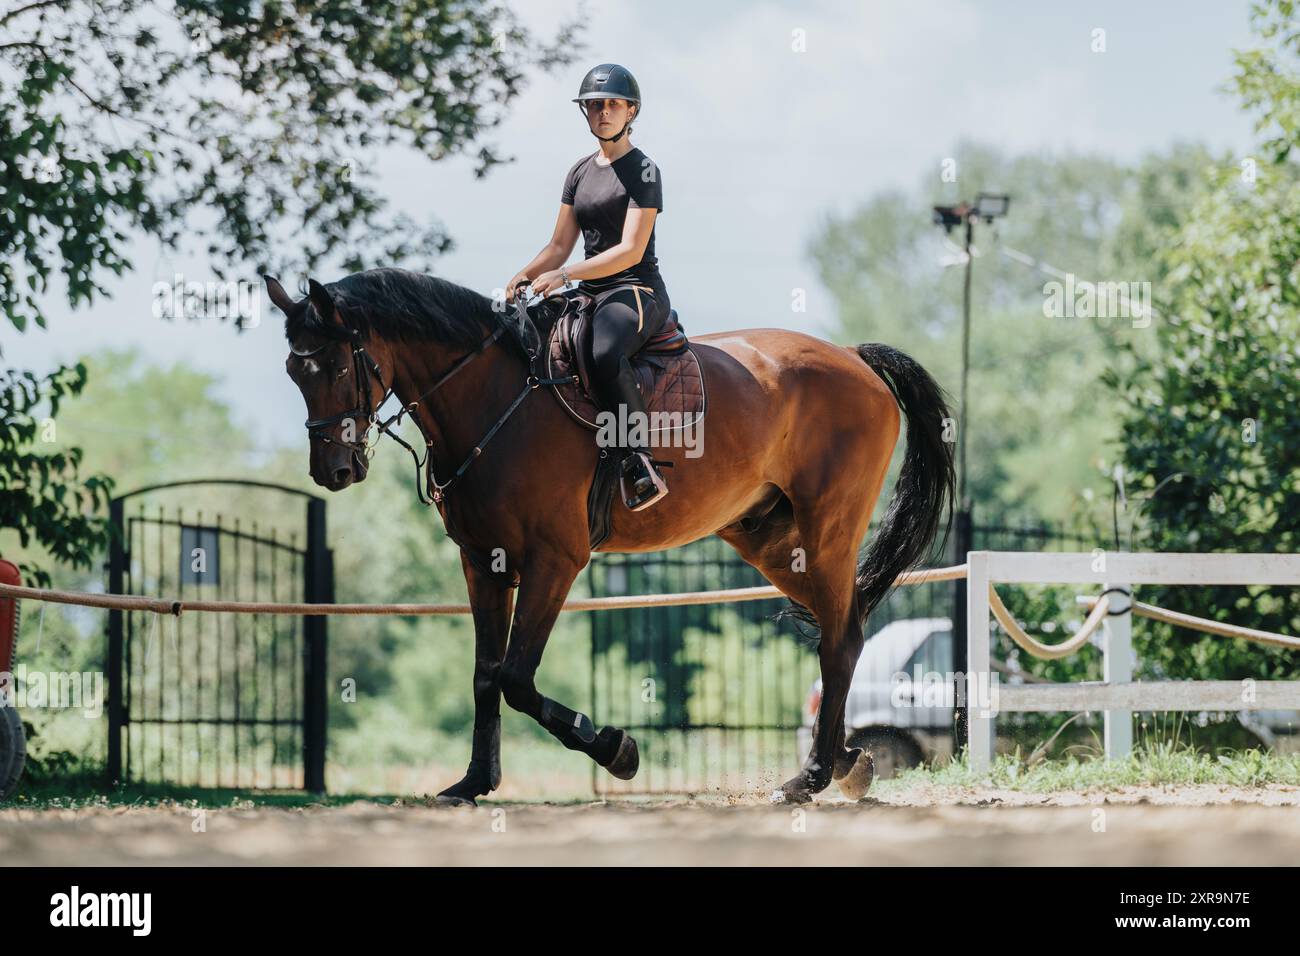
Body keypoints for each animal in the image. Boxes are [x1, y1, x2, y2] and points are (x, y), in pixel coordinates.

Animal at [266, 268, 954, 804]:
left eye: (334, 365)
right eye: (294, 372)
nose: (332, 471)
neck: (494, 399)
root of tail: (854, 358)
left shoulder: (554, 560)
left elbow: (517, 678)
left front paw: (616, 749)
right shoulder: (483, 563)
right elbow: (486, 674)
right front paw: (474, 783)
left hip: (826, 532)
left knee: (841, 641)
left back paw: (809, 777)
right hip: (773, 543)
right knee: (847, 628)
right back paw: (846, 763)